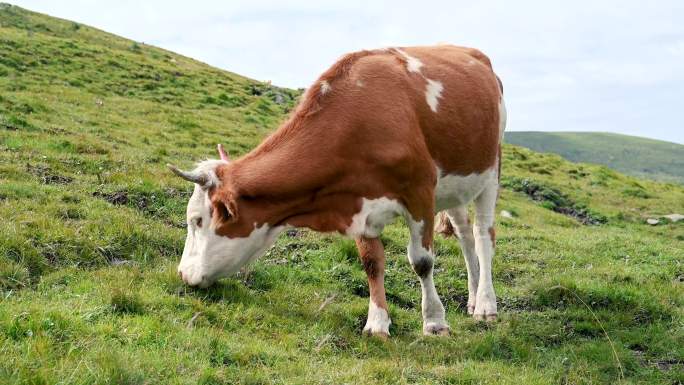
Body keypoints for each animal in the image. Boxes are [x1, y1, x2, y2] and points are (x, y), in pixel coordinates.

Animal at [168, 45, 504, 336]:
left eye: (197, 221)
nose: (182, 273)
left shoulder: (419, 192)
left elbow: (422, 262)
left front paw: (434, 322)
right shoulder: (359, 202)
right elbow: (372, 263)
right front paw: (377, 323)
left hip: (490, 172)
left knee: (482, 235)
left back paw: (486, 305)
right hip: (455, 187)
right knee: (464, 234)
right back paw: (473, 298)